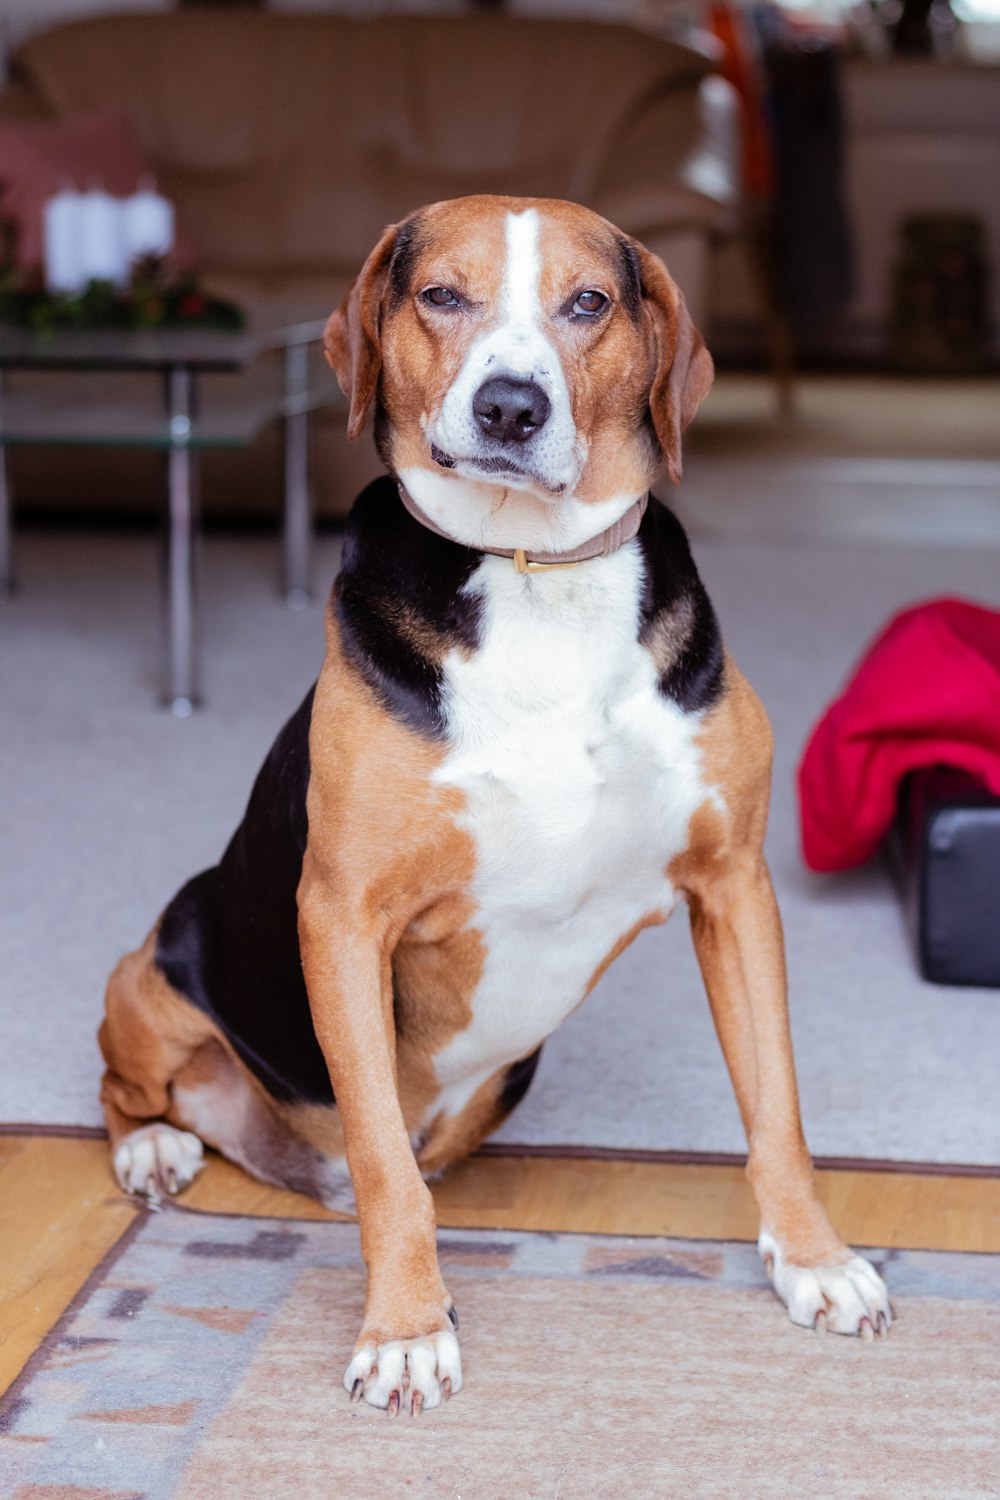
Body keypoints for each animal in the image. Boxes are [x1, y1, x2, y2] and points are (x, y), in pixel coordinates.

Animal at [99, 196, 893, 1416]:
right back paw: (152, 1148)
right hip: (155, 965)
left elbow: (777, 1107)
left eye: (589, 303)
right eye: (441, 295)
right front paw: (407, 1330)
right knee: (133, 1088)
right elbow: (385, 1161)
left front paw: (812, 1259)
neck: (534, 568)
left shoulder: (735, 888)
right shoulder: (343, 917)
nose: (510, 406)